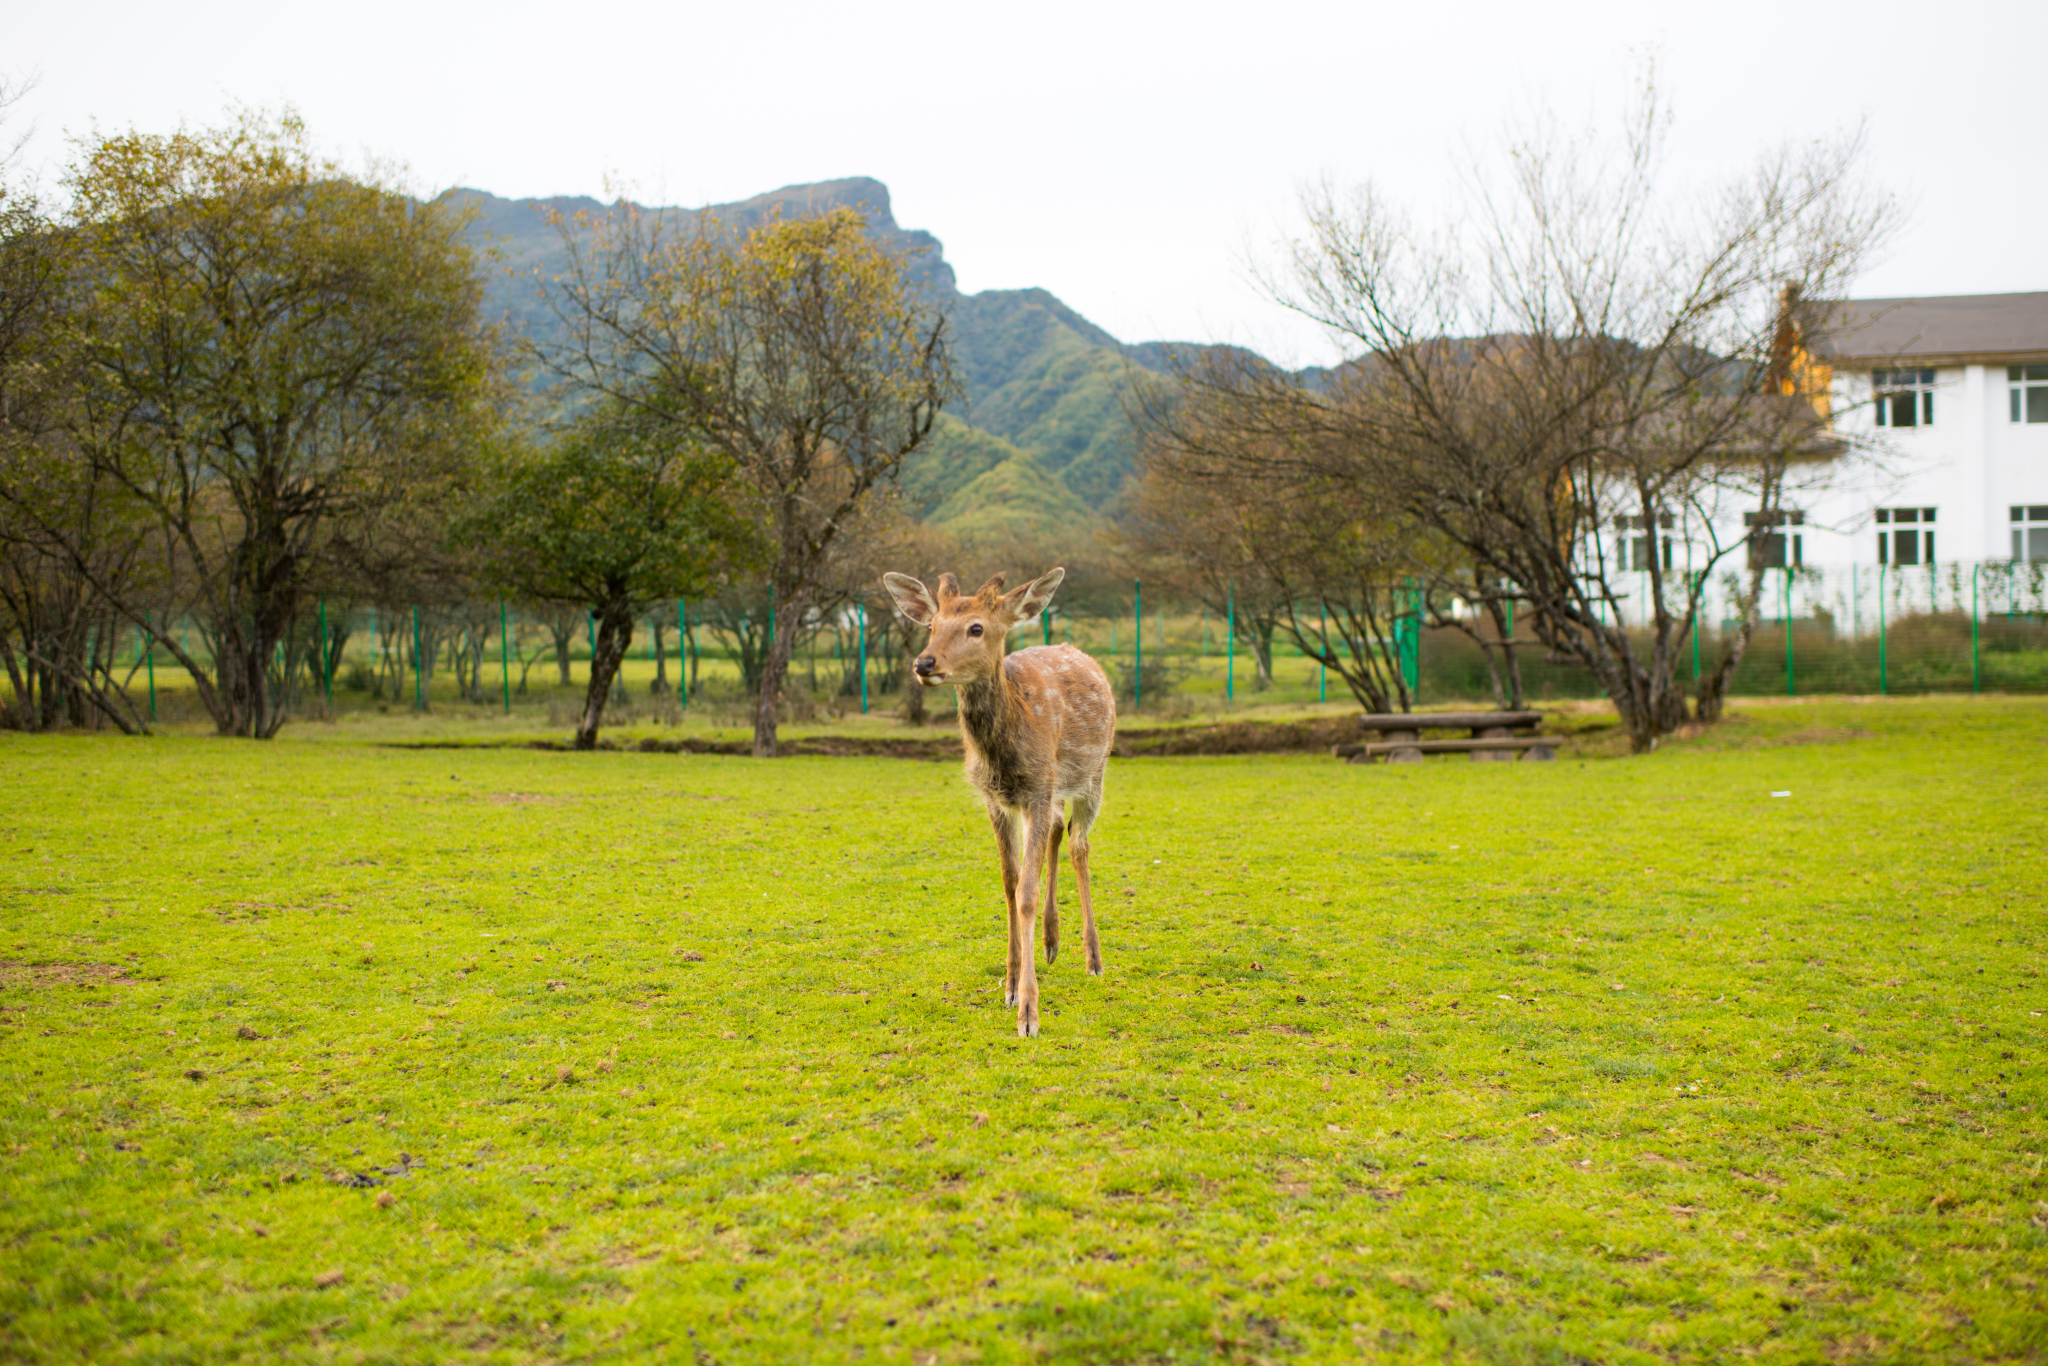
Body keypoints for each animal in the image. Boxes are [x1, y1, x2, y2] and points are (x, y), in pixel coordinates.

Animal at [876, 565, 1114, 1036]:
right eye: (931, 626)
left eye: (976, 627)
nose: (924, 663)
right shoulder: (999, 799)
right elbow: (1009, 883)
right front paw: (1010, 986)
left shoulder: (1038, 789)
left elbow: (1026, 891)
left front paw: (1029, 1014)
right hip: (1051, 791)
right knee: (1058, 831)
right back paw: (1051, 942)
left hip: (1094, 773)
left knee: (1080, 844)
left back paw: (1093, 959)